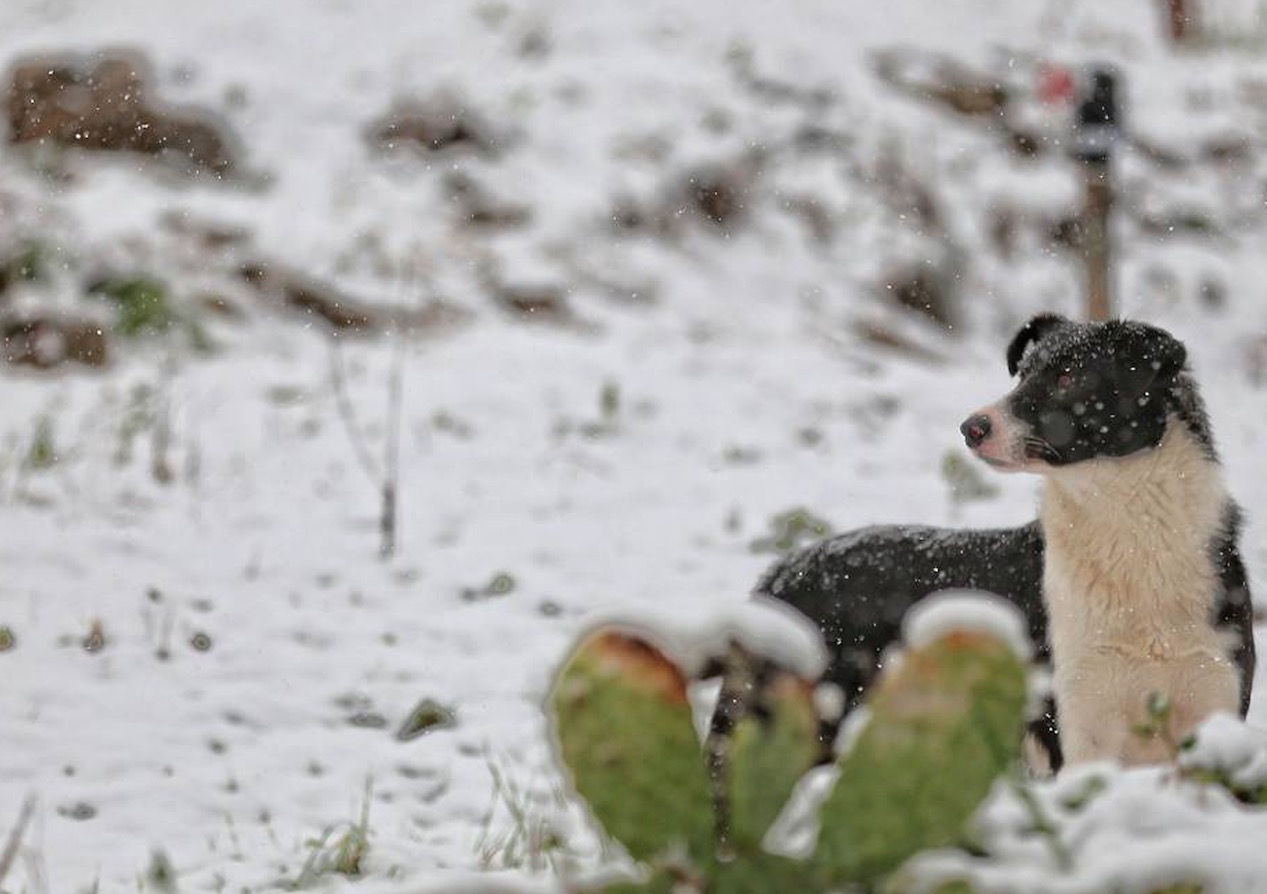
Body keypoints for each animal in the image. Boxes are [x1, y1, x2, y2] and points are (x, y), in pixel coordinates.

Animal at [750, 314, 1256, 764]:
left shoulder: (1214, 706)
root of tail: (777, 576)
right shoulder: (1078, 726)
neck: (1133, 539)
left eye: (1068, 377)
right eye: (1023, 375)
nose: (971, 427)